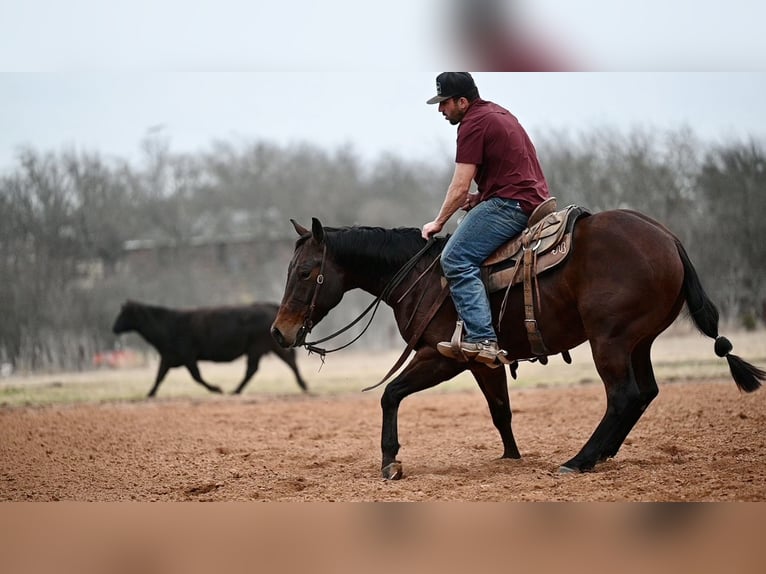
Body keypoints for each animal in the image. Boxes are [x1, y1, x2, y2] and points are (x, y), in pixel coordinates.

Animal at [270, 211, 764, 480]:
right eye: (289, 269)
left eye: (305, 272)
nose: (279, 332)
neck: (425, 278)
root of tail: (670, 240)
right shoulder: (481, 362)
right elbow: (500, 410)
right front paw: (511, 457)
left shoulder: (441, 358)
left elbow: (391, 394)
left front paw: (391, 461)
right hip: (638, 342)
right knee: (644, 393)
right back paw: (602, 453)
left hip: (610, 341)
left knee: (623, 396)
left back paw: (579, 460)